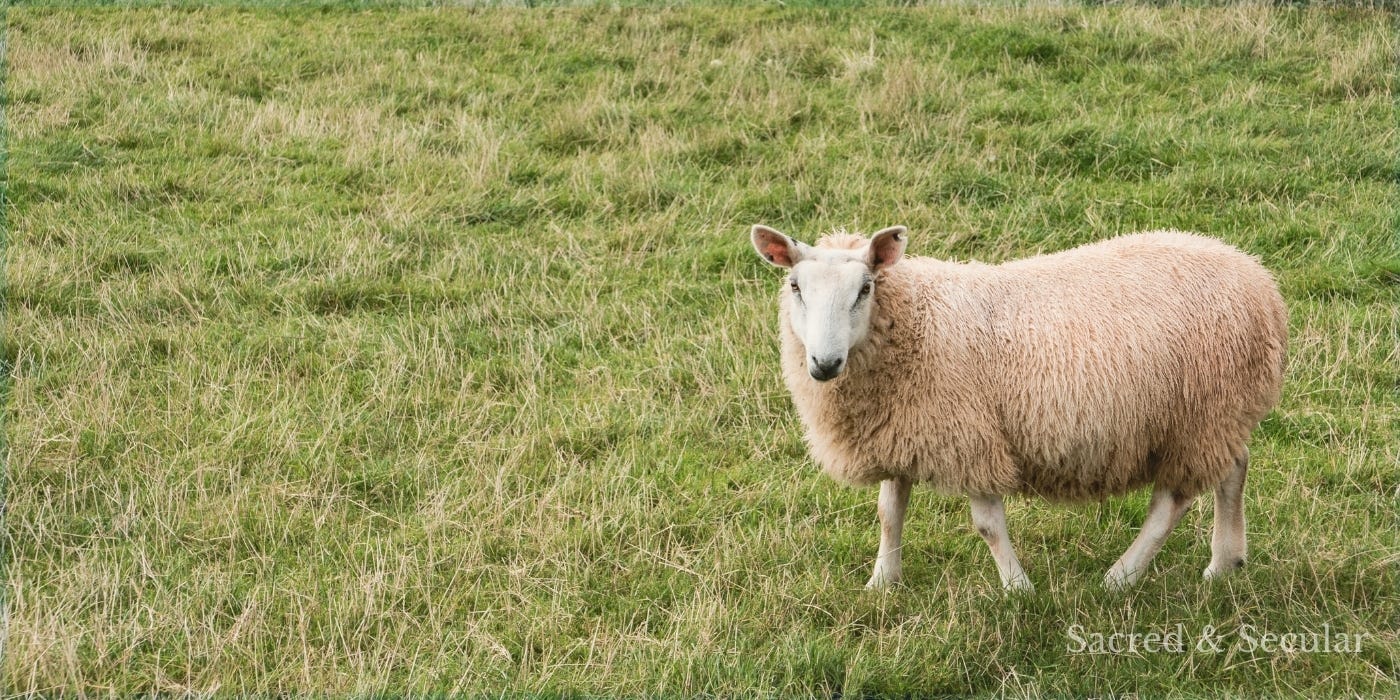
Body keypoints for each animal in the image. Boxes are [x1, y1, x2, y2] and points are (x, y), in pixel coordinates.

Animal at [750, 225, 1287, 590]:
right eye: (795, 287)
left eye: (864, 289)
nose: (824, 364)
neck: (916, 323)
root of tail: (1259, 280)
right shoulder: (904, 427)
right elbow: (888, 511)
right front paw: (883, 582)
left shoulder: (970, 436)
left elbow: (987, 525)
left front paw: (1018, 589)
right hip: (1220, 415)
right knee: (1235, 469)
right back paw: (1225, 564)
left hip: (1199, 415)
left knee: (1171, 503)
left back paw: (1120, 578)